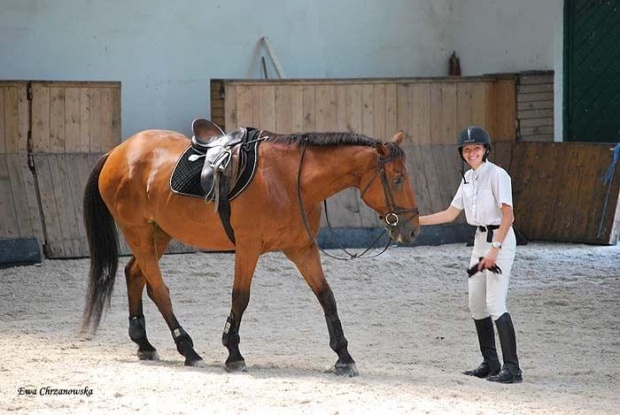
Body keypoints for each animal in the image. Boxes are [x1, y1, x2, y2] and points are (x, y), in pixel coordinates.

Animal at [82, 122, 418, 376]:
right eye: (398, 179)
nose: (412, 229)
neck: (289, 180)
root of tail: (117, 152)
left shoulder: (302, 248)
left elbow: (327, 297)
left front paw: (344, 357)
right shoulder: (248, 247)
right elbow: (240, 297)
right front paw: (233, 352)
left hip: (159, 232)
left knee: (136, 276)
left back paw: (144, 343)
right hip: (137, 231)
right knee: (158, 289)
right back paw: (188, 349)